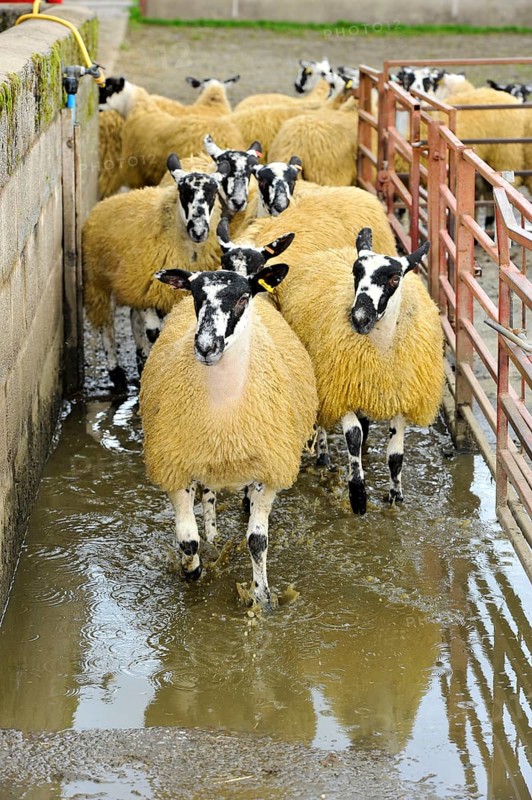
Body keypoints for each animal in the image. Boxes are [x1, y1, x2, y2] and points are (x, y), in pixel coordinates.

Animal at [83, 154, 231, 391]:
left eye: (213, 193)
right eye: (184, 192)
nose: (199, 231)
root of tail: (106, 202)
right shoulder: (149, 285)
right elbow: (154, 332)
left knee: (133, 318)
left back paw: (140, 359)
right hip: (99, 282)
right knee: (107, 324)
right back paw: (117, 373)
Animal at [139, 259, 318, 606]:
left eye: (242, 298)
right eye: (195, 296)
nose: (206, 347)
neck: (224, 413)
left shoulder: (269, 470)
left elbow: (257, 541)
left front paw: (262, 597)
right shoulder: (175, 466)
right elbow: (188, 540)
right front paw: (193, 573)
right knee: (207, 497)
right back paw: (212, 537)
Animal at [269, 227, 444, 514]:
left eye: (395, 278)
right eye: (355, 273)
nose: (360, 318)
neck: (381, 347)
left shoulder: (400, 397)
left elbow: (395, 456)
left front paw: (395, 496)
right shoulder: (342, 391)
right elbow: (353, 437)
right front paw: (358, 495)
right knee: (323, 420)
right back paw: (323, 455)